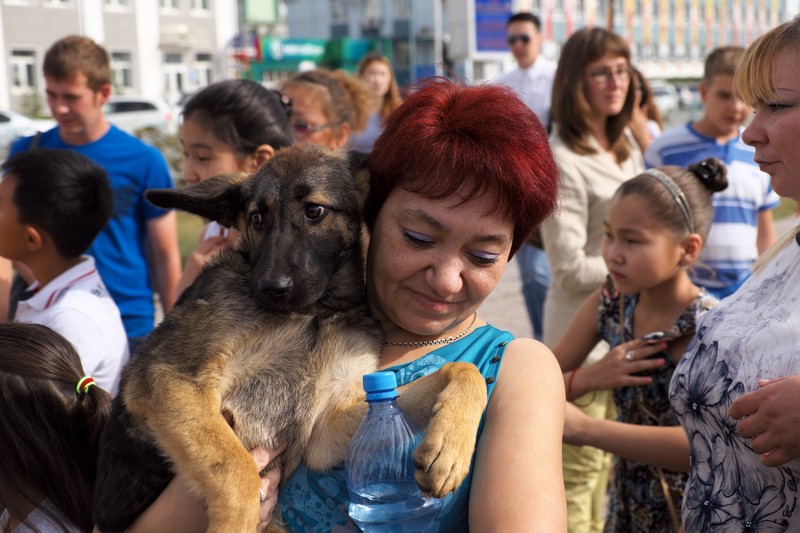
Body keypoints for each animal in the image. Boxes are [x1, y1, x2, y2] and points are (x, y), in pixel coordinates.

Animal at [97, 142, 490, 532]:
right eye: (256, 218)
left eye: (314, 211)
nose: (270, 288)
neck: (315, 313)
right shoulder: (169, 378)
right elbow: (237, 469)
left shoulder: (328, 424)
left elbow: (462, 370)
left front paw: (450, 446)